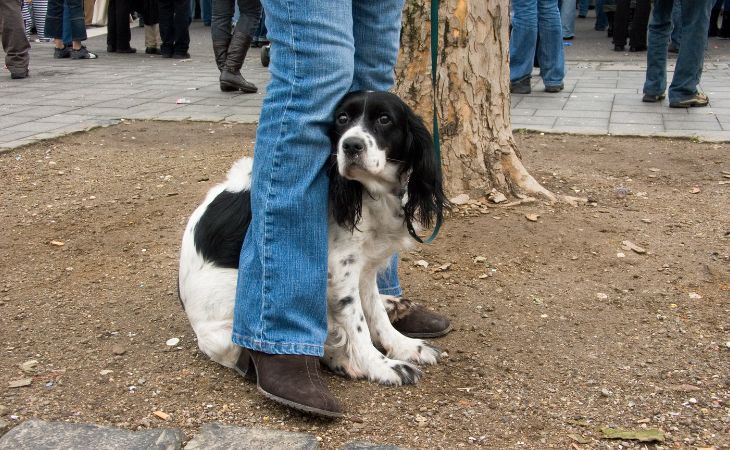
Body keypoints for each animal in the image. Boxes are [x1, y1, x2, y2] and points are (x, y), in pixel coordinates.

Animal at [179, 91, 446, 386]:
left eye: (384, 119)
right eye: (342, 118)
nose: (351, 145)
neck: (368, 193)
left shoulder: (364, 265)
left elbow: (374, 313)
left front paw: (405, 345)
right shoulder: (341, 268)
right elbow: (357, 323)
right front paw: (381, 366)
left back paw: (392, 305)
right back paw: (342, 359)